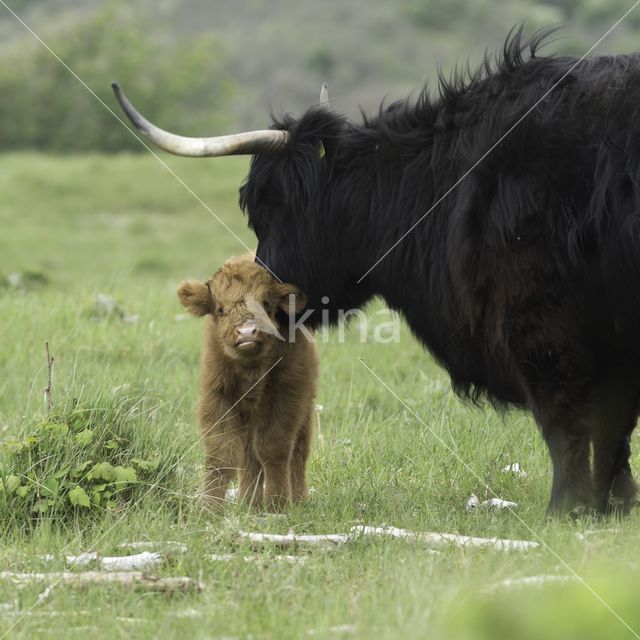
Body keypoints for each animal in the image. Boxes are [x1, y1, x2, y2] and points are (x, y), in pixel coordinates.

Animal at [178, 255, 318, 510]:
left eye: (266, 303)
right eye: (221, 309)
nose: (246, 333)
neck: (252, 370)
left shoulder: (289, 398)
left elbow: (274, 450)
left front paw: (277, 503)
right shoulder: (218, 398)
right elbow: (222, 455)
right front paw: (209, 507)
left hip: (304, 412)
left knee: (297, 454)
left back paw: (297, 498)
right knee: (249, 458)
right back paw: (249, 502)